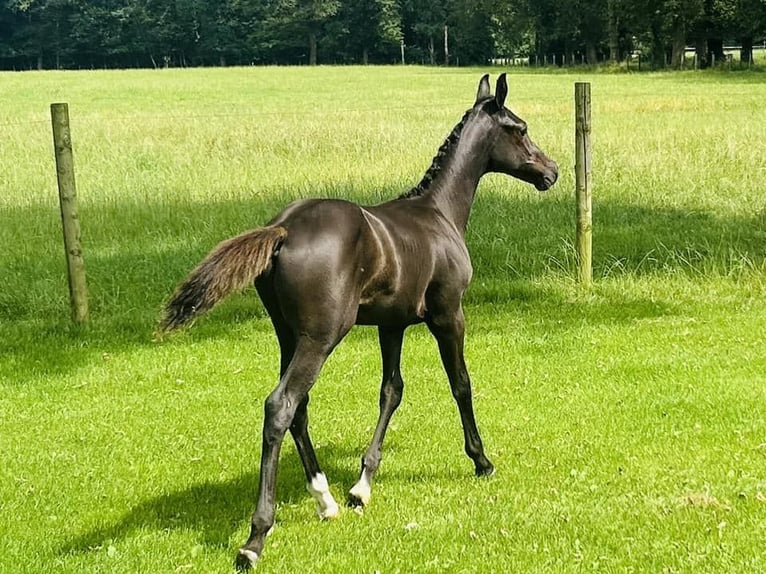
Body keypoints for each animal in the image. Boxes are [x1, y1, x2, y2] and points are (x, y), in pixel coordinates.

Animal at [160, 74, 560, 568]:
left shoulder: (393, 325)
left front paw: (361, 487)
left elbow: (391, 391)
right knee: (281, 406)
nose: (551, 171)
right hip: (321, 337)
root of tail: (283, 230)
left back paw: (325, 500)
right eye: (520, 129)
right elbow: (461, 383)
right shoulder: (449, 314)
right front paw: (481, 460)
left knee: (299, 408)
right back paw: (255, 539)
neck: (439, 215)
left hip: (288, 336)